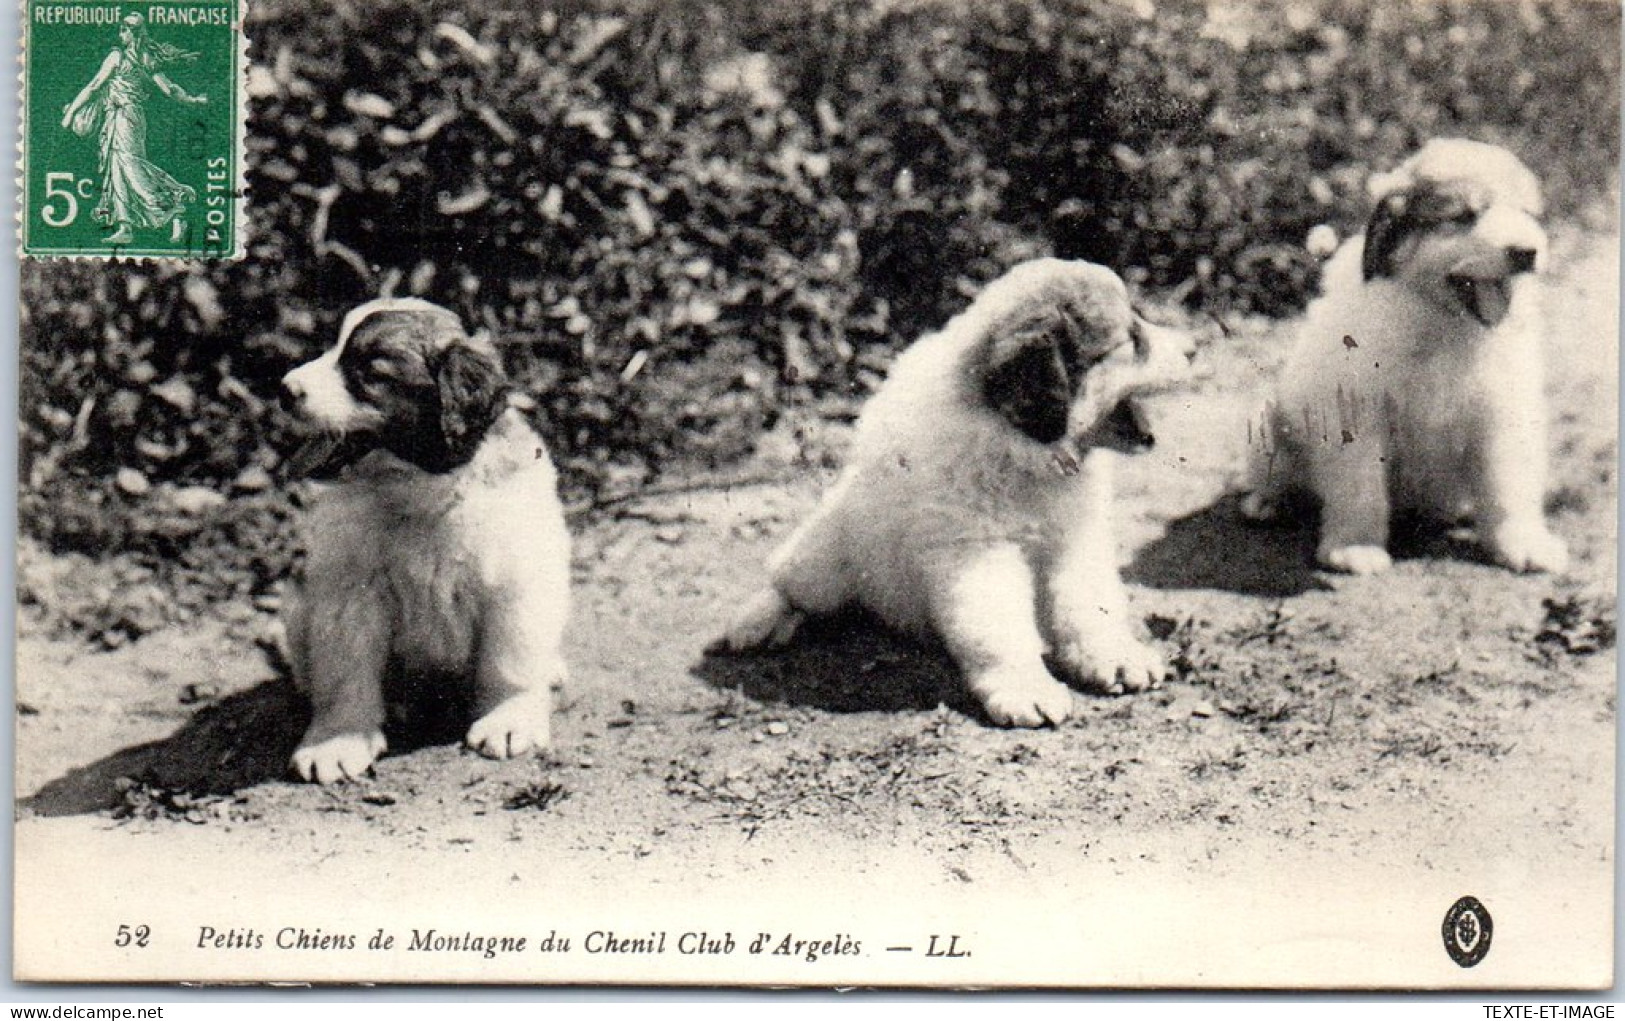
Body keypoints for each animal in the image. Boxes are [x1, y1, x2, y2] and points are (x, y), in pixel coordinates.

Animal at [282, 295, 575, 780]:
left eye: (370, 372)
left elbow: (509, 659)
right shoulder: (348, 591)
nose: (285, 389)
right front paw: (337, 740)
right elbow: (344, 670)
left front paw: (508, 718)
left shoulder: (514, 580)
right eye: (332, 348)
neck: (420, 492)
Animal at [1235, 139, 1566, 578]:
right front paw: (1355, 547)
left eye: (1528, 214)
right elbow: (1360, 488)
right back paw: (1267, 501)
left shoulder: (1504, 408)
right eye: (1463, 216)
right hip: (1268, 418)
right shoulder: (1354, 410)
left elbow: (1510, 483)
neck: (1442, 318)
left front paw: (1524, 543)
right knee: (1276, 475)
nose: (1527, 252)